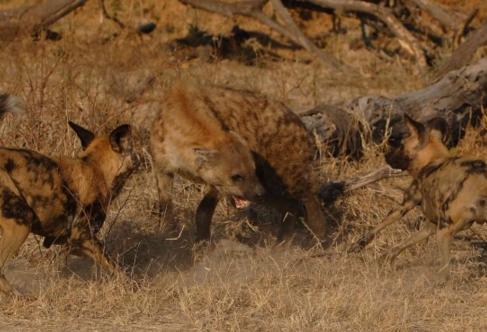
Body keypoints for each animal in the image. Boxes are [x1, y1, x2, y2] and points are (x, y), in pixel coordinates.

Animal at [0, 93, 139, 296]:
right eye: (134, 151)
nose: (141, 159)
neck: (96, 168)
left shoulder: (72, 243)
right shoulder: (81, 236)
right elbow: (114, 265)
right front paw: (131, 286)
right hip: (20, 222)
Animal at [152, 81, 328, 243]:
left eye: (253, 170)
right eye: (236, 176)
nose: (259, 192)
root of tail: (301, 124)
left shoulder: (220, 184)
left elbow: (204, 209)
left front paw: (202, 242)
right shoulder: (162, 166)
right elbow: (165, 205)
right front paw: (166, 234)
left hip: (283, 172)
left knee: (307, 200)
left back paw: (317, 243)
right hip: (271, 183)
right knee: (290, 205)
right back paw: (282, 243)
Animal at [350, 114, 487, 278]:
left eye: (401, 145)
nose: (386, 156)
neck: (434, 158)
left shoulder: (405, 205)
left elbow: (381, 225)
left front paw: (359, 244)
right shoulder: (431, 225)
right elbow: (404, 243)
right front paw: (385, 258)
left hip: (444, 233)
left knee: (445, 270)